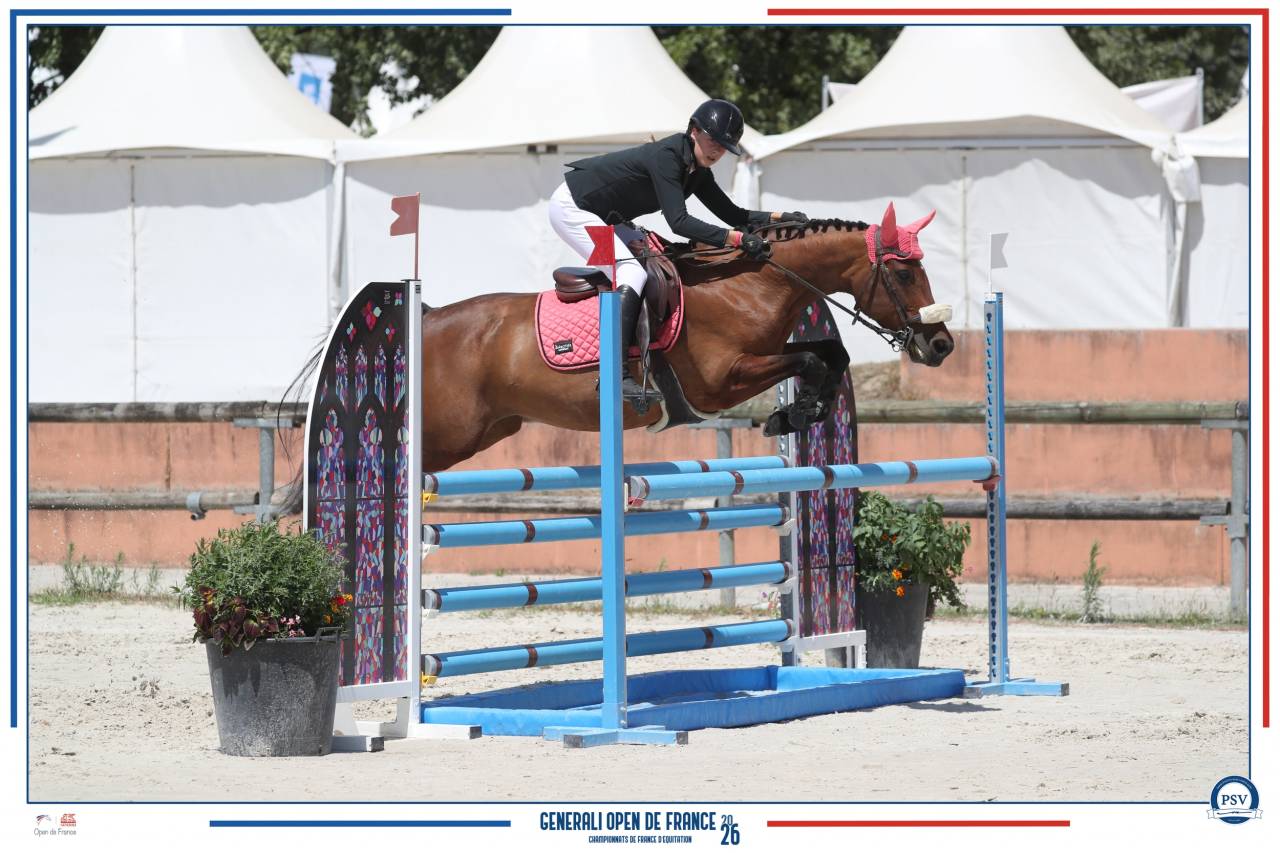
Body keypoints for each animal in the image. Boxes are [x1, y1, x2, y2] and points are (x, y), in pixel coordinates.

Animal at [415, 202, 953, 473]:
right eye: (904, 274)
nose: (942, 345)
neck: (750, 283)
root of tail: (431, 318)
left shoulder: (766, 355)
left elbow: (830, 354)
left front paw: (804, 411)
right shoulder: (722, 382)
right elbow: (810, 362)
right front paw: (794, 413)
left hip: (489, 429)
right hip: (450, 434)